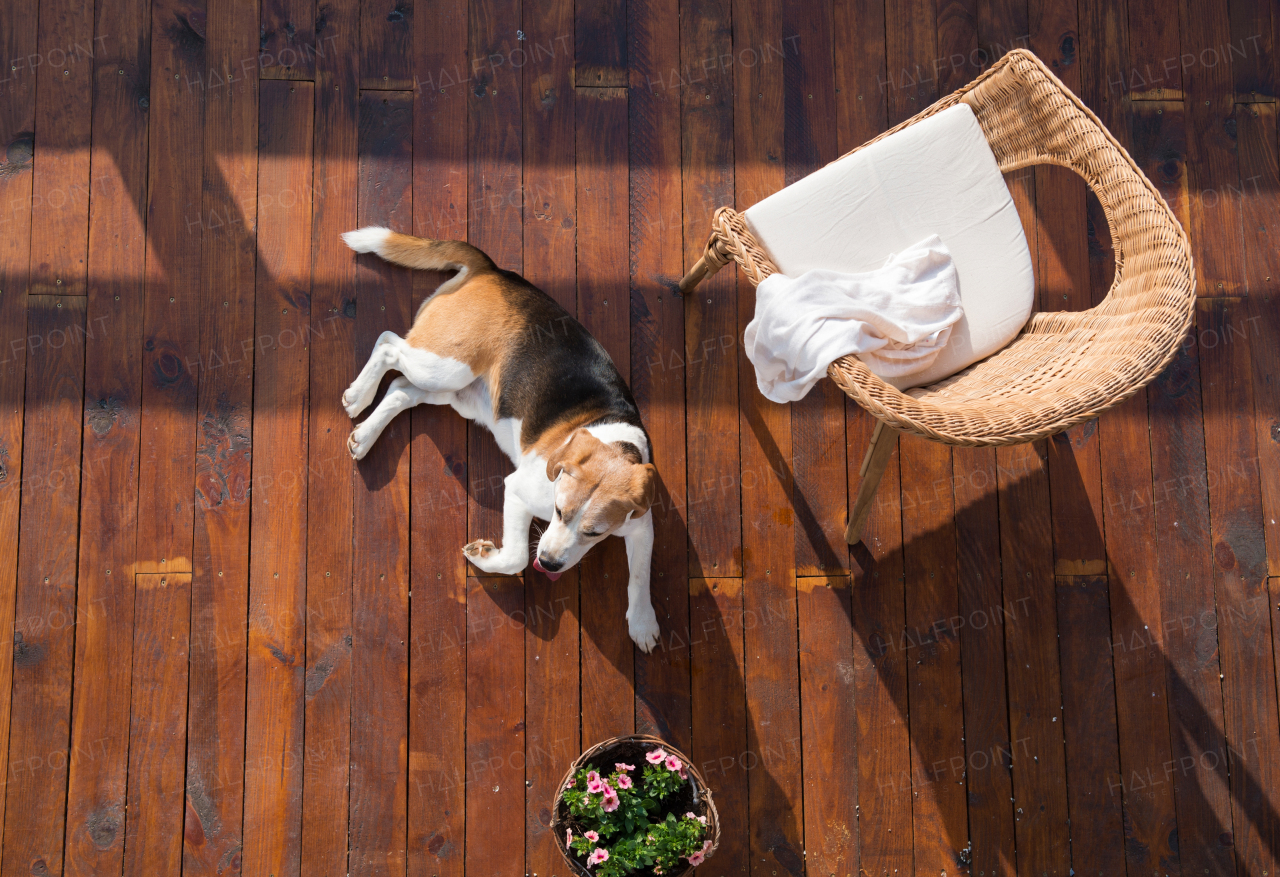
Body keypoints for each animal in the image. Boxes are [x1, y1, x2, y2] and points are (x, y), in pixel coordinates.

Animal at [340, 225, 660, 650]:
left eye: (595, 533)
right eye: (559, 511)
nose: (550, 564)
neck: (613, 441)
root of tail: (491, 270)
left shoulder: (640, 523)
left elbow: (640, 575)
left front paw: (642, 622)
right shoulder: (518, 491)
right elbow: (516, 557)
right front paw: (484, 557)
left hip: (457, 395)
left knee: (399, 391)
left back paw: (365, 435)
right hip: (444, 367)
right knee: (389, 344)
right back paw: (358, 395)